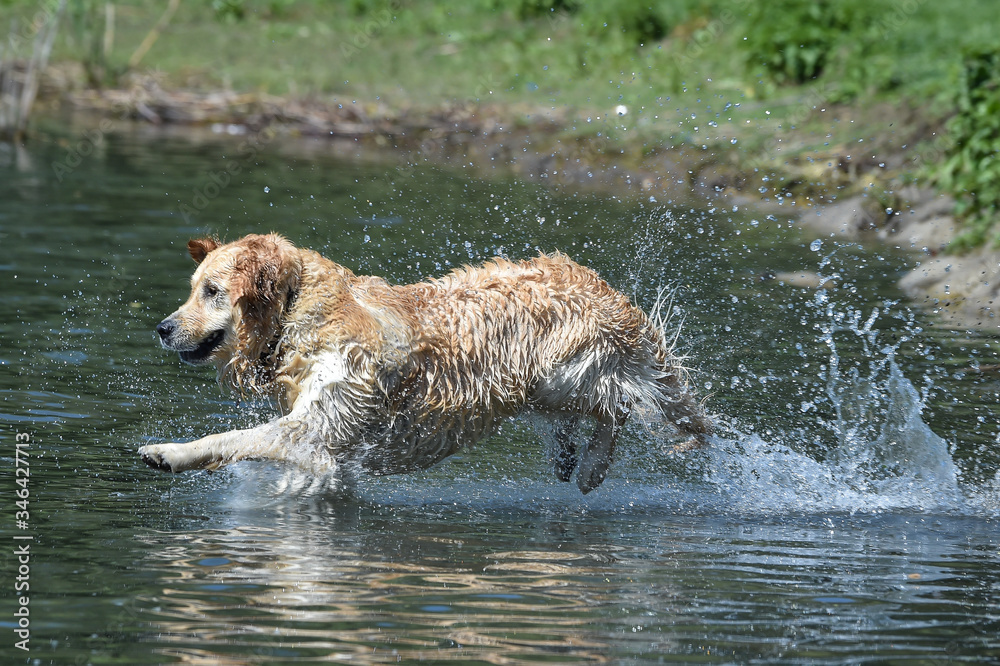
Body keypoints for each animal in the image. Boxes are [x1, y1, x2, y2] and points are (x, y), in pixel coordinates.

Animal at [139, 233, 712, 492]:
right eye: (193, 288)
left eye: (212, 292)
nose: (162, 327)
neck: (301, 312)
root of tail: (601, 286)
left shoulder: (316, 429)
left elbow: (232, 439)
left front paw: (169, 452)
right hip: (541, 384)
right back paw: (568, 454)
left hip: (564, 371)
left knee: (618, 406)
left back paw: (592, 466)